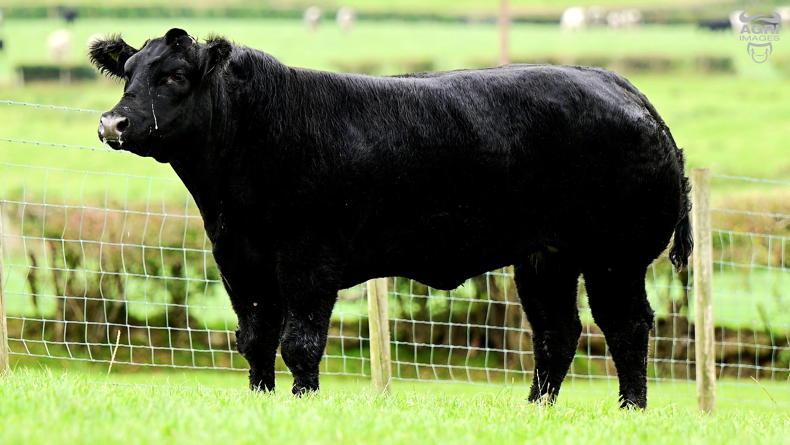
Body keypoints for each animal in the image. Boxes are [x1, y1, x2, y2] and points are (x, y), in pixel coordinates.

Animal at [89, 28, 692, 409]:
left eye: (175, 76)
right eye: (128, 75)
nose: (113, 122)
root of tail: (621, 87)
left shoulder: (309, 262)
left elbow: (299, 341)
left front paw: (303, 402)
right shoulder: (239, 261)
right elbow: (256, 338)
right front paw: (262, 400)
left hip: (615, 256)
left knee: (626, 326)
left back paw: (631, 408)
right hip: (545, 258)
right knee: (557, 332)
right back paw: (537, 408)